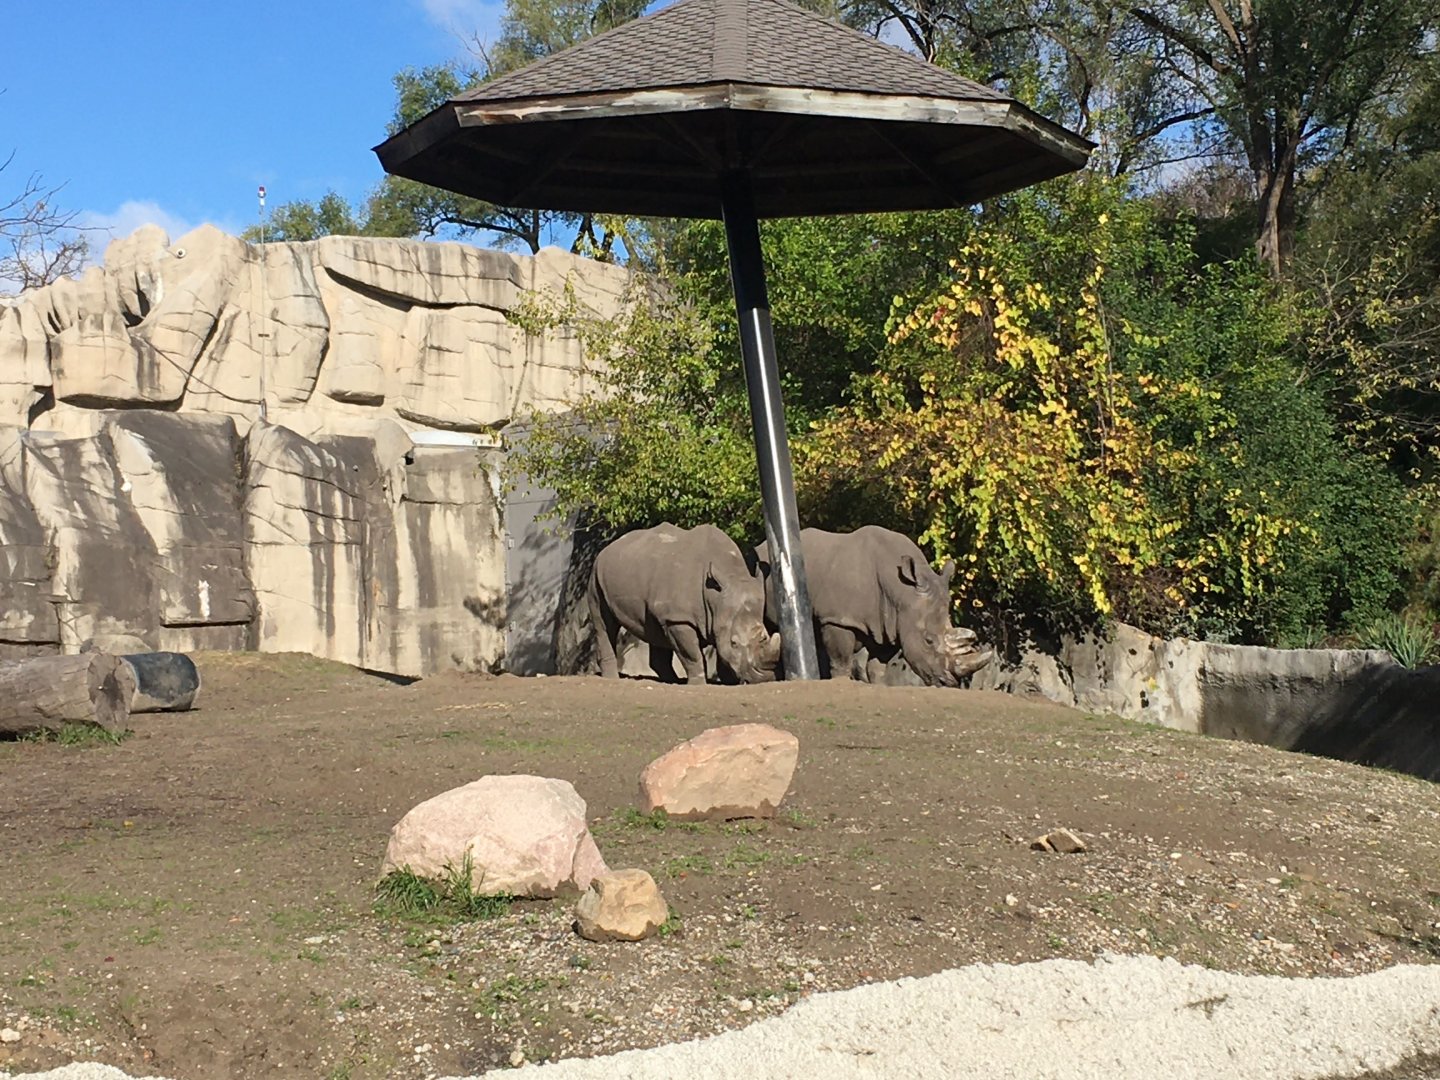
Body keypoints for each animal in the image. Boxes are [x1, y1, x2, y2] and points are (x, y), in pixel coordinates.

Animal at [588, 523, 781, 685]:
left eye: (765, 637)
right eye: (734, 643)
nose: (764, 678)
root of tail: (607, 547)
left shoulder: (716, 615)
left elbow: (720, 649)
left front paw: (728, 681)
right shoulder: (679, 619)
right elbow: (692, 654)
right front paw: (699, 684)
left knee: (654, 627)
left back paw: (671, 681)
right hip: (596, 574)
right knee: (604, 623)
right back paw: (612, 679)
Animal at [756, 525, 993, 686]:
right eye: (928, 641)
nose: (948, 683)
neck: (902, 592)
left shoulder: (889, 624)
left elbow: (878, 665)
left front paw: (880, 684)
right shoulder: (838, 618)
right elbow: (841, 658)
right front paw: (842, 682)